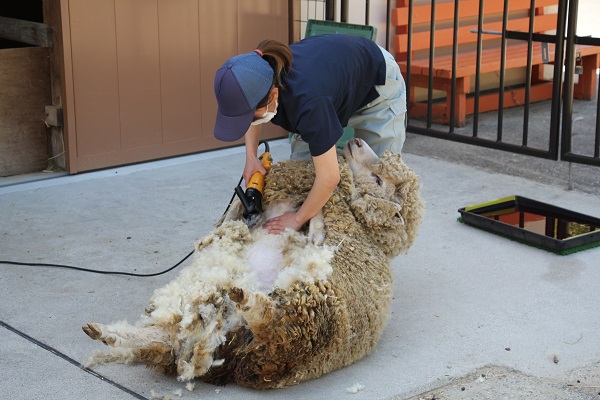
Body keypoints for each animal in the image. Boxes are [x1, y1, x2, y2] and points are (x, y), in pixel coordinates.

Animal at [82, 139, 424, 390]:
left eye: (379, 179)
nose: (355, 142)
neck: (363, 229)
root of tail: (235, 361)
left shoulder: (328, 238)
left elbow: (318, 227)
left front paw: (317, 211)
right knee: (164, 343)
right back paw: (107, 334)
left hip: (306, 315)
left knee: (272, 323)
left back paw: (247, 299)